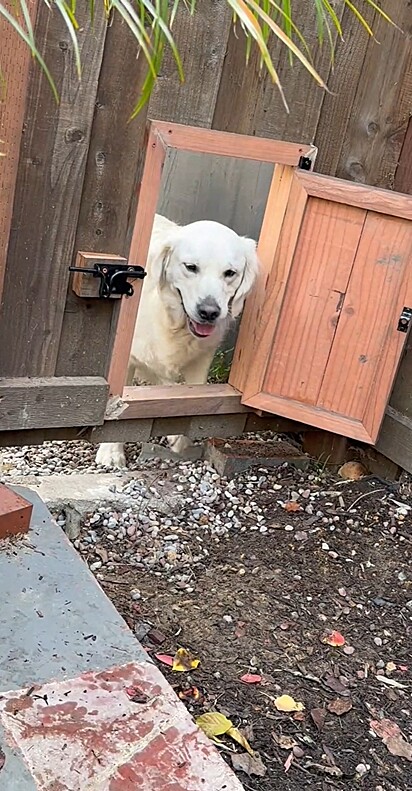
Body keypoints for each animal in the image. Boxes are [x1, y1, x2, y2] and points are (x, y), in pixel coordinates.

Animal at [95, 213, 260, 468]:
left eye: (230, 273)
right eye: (191, 267)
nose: (209, 312)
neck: (174, 323)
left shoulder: (202, 358)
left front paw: (180, 437)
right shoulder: (127, 359)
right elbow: (116, 406)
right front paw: (111, 452)